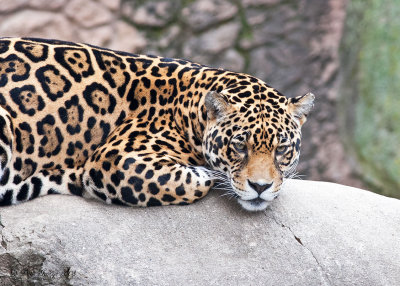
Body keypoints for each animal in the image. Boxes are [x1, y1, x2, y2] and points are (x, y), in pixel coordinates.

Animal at [0, 37, 314, 212]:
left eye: (282, 149)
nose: (260, 187)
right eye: (238, 146)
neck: (188, 108)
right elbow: (198, 180)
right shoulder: (117, 158)